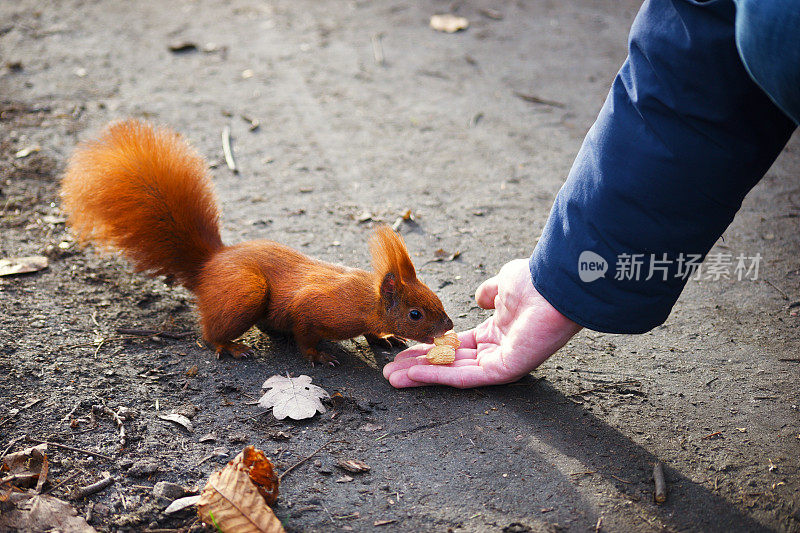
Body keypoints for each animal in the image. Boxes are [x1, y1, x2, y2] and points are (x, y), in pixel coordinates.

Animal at [61, 118, 450, 364]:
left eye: (435, 297)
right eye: (415, 314)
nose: (448, 327)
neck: (365, 300)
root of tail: (209, 265)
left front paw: (383, 338)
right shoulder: (314, 307)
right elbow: (305, 333)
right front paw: (318, 355)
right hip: (245, 291)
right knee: (211, 333)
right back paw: (232, 347)